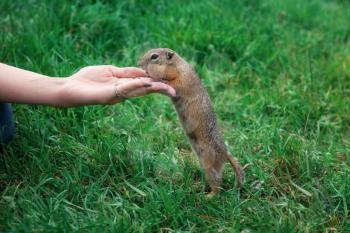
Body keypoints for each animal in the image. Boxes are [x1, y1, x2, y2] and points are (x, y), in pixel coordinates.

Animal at [138, 47, 245, 197]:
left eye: (154, 56)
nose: (138, 63)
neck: (176, 66)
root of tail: (225, 152)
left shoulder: (181, 79)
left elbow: (172, 84)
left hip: (210, 163)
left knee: (217, 183)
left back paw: (209, 196)